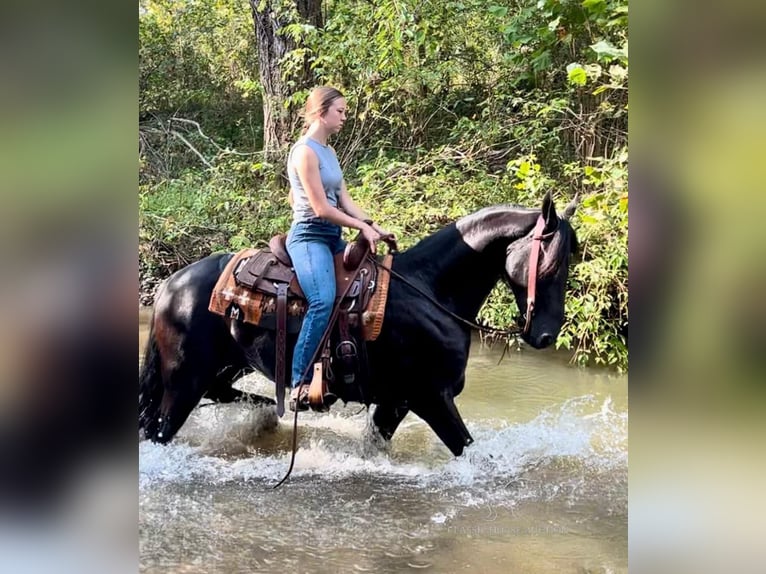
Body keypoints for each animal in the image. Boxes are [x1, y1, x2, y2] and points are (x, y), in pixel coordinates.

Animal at [141, 196, 580, 456]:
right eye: (551, 263)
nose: (545, 335)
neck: (431, 290)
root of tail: (171, 283)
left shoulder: (397, 402)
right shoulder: (431, 397)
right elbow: (467, 447)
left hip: (227, 366)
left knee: (222, 393)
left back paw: (266, 413)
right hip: (183, 381)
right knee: (161, 430)